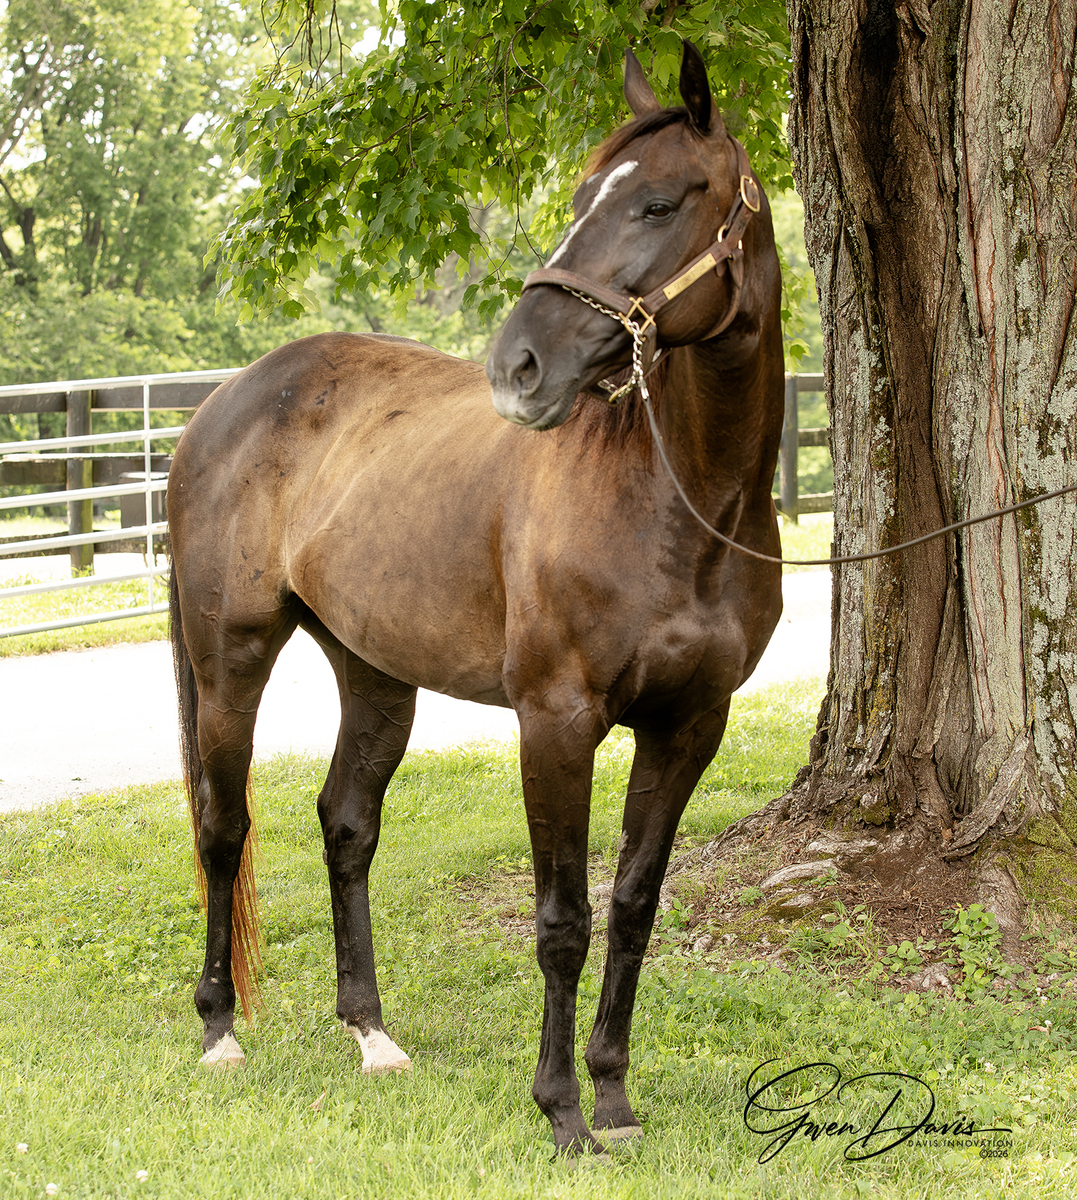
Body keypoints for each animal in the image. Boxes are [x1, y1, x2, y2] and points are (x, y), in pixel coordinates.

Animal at [168, 39, 784, 1156]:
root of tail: (222, 404)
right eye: (582, 195)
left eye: (660, 202)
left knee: (346, 824)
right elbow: (561, 920)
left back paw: (371, 1035)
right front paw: (562, 1112)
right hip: (230, 661)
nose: (519, 365)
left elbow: (632, 905)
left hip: (373, 671)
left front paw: (615, 1099)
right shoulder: (556, 721)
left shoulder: (690, 725)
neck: (673, 497)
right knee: (222, 828)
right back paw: (220, 1033)